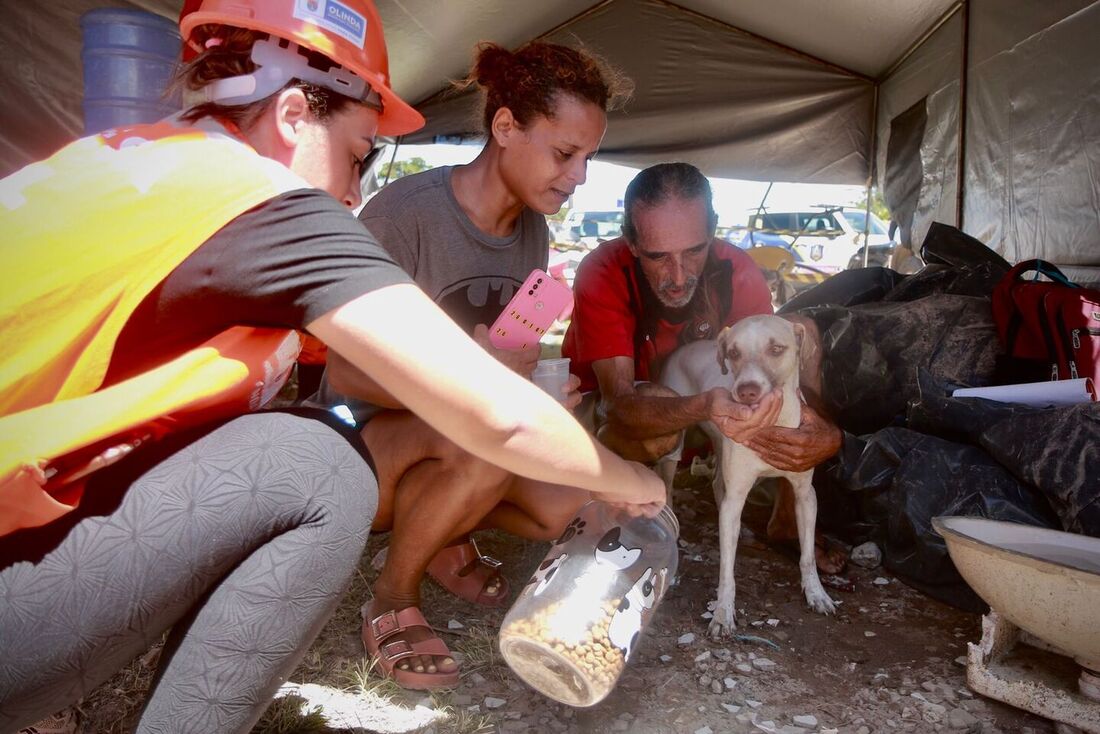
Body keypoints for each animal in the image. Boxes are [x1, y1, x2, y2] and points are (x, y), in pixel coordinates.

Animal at [660, 312, 831, 638]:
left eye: (776, 349)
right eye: (734, 353)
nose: (746, 391)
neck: (773, 423)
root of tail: (684, 347)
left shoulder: (806, 495)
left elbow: (807, 556)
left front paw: (816, 593)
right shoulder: (737, 494)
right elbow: (727, 572)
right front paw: (723, 613)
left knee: (718, 487)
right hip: (676, 437)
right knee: (669, 479)